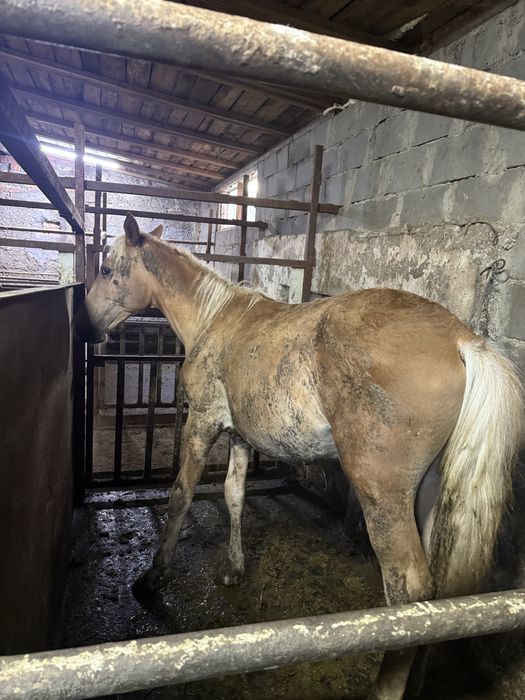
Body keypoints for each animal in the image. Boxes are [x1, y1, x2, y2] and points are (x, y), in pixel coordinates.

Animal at [75, 213, 523, 700]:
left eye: (105, 269)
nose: (85, 327)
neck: (215, 320)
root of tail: (463, 340)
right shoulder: (240, 437)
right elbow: (233, 495)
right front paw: (234, 568)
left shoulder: (202, 425)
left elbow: (180, 496)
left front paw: (154, 579)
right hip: (425, 491)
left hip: (383, 495)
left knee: (409, 587)